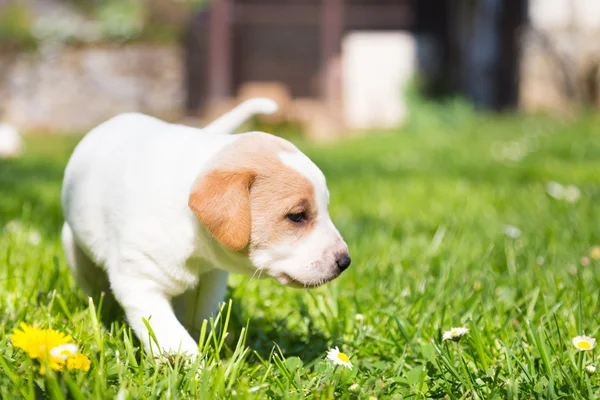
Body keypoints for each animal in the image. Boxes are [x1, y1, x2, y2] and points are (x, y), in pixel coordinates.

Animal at [59, 98, 352, 354]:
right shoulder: (139, 282)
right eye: (297, 216)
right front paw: (196, 368)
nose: (345, 262)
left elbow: (202, 315)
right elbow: (171, 335)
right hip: (73, 248)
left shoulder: (212, 278)